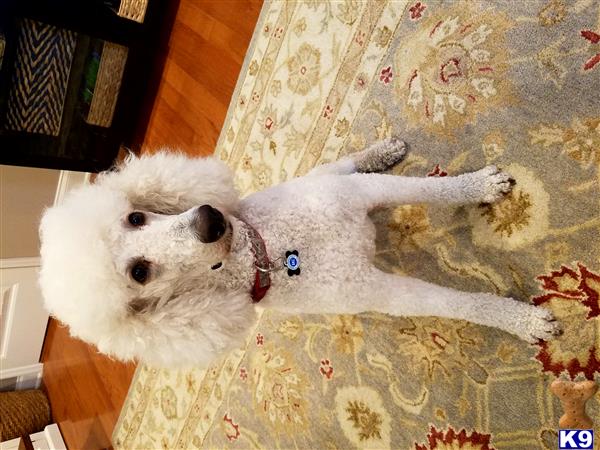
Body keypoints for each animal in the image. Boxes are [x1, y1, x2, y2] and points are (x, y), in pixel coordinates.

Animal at [39, 139, 560, 368]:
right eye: (140, 273)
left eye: (134, 217)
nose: (210, 220)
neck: (271, 251)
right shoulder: (378, 290)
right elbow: (457, 304)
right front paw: (525, 322)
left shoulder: (364, 193)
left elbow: (433, 191)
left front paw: (480, 188)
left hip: (328, 179)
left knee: (341, 165)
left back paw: (379, 149)